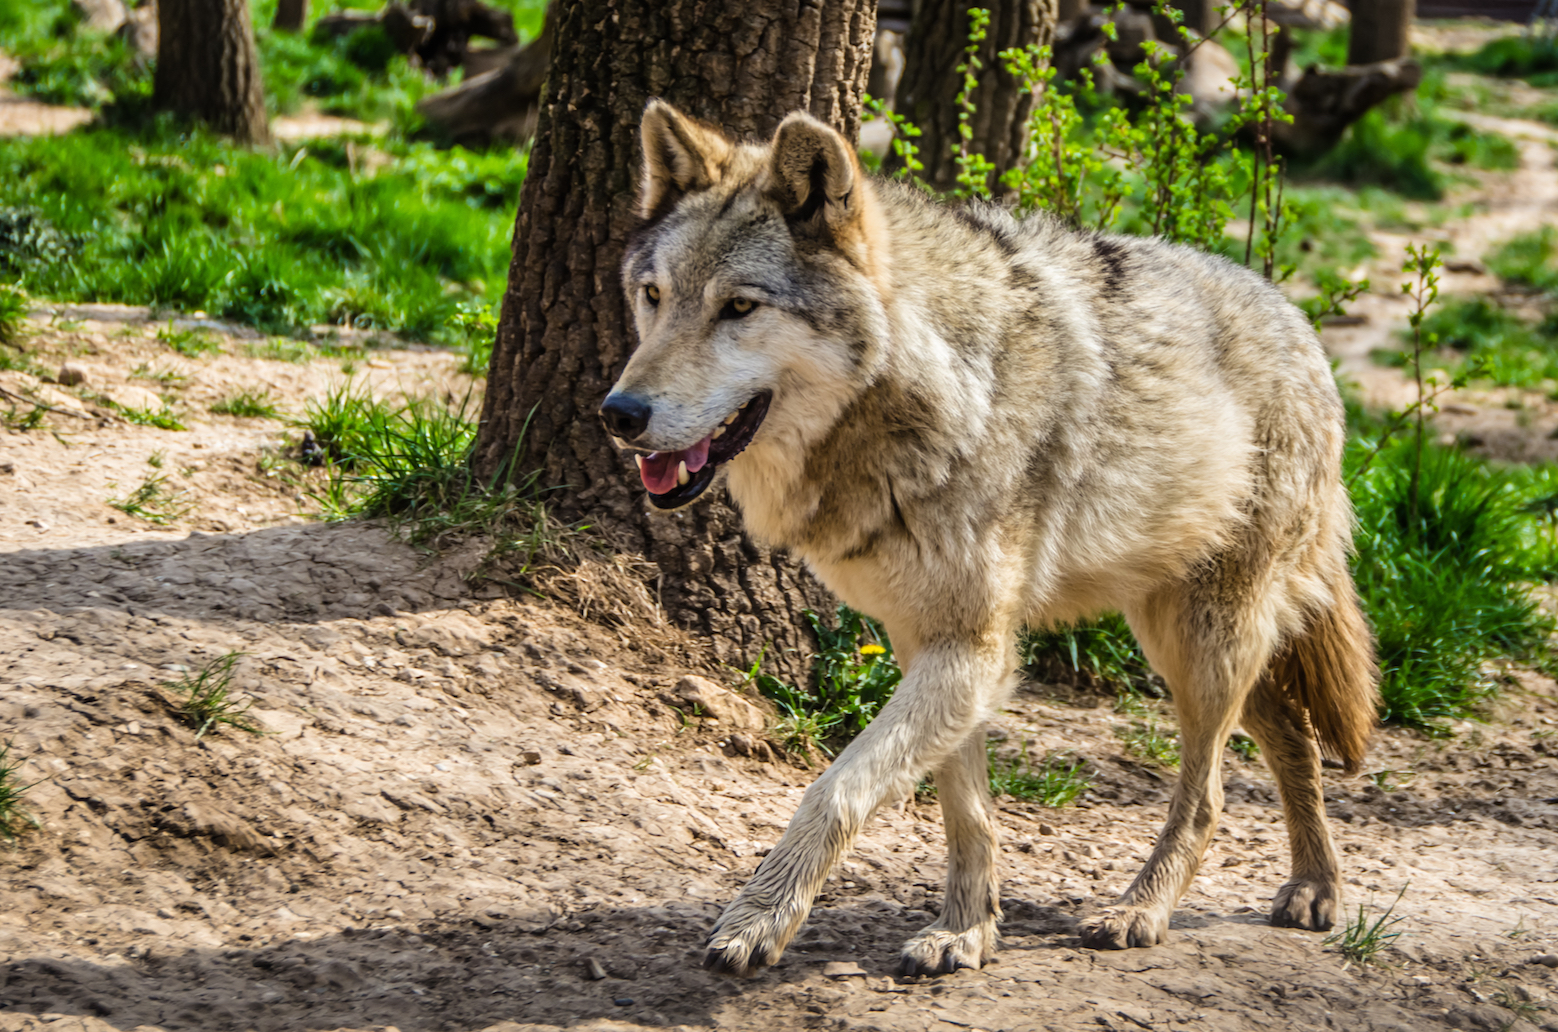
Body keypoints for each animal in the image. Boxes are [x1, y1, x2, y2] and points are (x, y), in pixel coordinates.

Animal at [599, 99, 1378, 977]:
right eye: (654, 296)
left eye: (739, 307)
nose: (619, 414)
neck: (930, 390)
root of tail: (1299, 322)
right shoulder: (929, 642)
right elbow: (961, 807)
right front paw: (966, 930)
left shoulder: (975, 647)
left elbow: (835, 789)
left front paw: (760, 920)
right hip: (1178, 631)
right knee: (1291, 734)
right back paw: (1315, 887)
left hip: (1201, 644)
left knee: (1210, 789)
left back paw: (1142, 909)